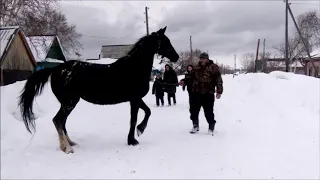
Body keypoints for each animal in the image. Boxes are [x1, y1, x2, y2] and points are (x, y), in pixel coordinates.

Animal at [18, 26, 179, 153]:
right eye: (166, 42)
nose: (176, 57)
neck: (133, 68)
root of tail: (56, 69)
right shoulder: (135, 98)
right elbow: (146, 113)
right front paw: (140, 131)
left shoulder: (133, 101)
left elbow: (133, 120)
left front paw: (132, 140)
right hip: (69, 102)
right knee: (57, 120)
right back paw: (68, 149)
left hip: (67, 103)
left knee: (62, 122)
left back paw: (70, 143)